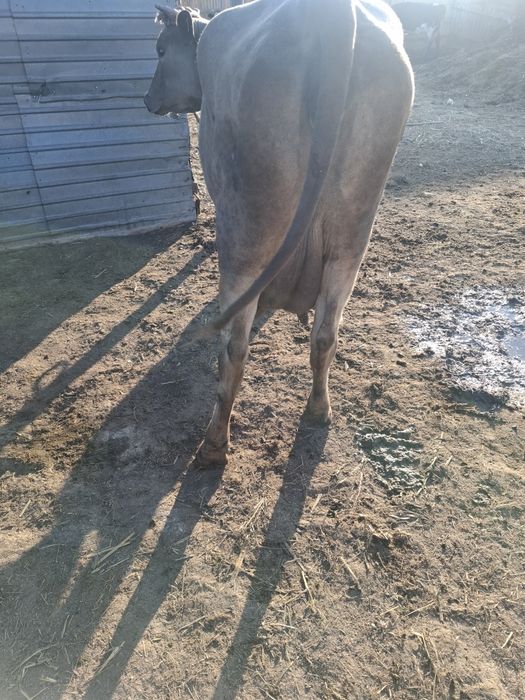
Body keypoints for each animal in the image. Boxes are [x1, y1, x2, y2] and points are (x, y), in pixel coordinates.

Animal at [145, 0, 414, 466]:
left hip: (247, 237)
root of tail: (331, 14)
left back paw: (214, 444)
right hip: (351, 241)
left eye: (160, 50)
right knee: (326, 334)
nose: (146, 99)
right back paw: (319, 410)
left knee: (234, 347)